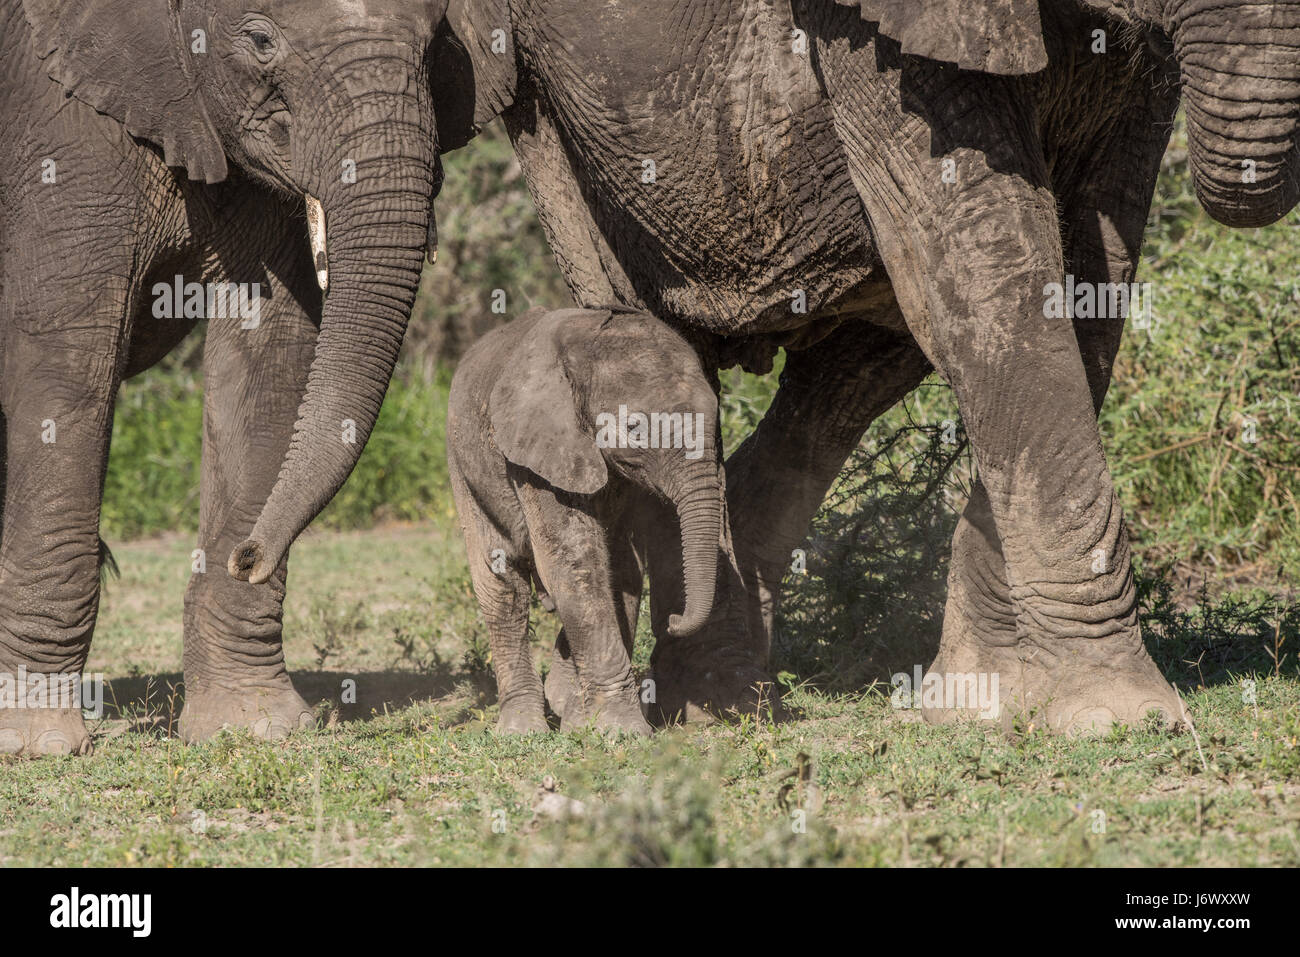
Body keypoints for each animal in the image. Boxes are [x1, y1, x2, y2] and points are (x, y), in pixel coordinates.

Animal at [0, 0, 449, 748]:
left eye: (436, 43)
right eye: (261, 40)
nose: (249, 554)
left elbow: (269, 348)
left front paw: (255, 727)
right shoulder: (57, 133)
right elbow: (66, 360)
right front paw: (35, 745)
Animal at [449, 306, 728, 733]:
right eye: (635, 429)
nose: (674, 620)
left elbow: (619, 570)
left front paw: (585, 723)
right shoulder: (539, 453)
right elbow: (574, 561)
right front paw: (622, 730)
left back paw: (562, 705)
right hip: (461, 465)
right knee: (501, 584)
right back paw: (521, 730)